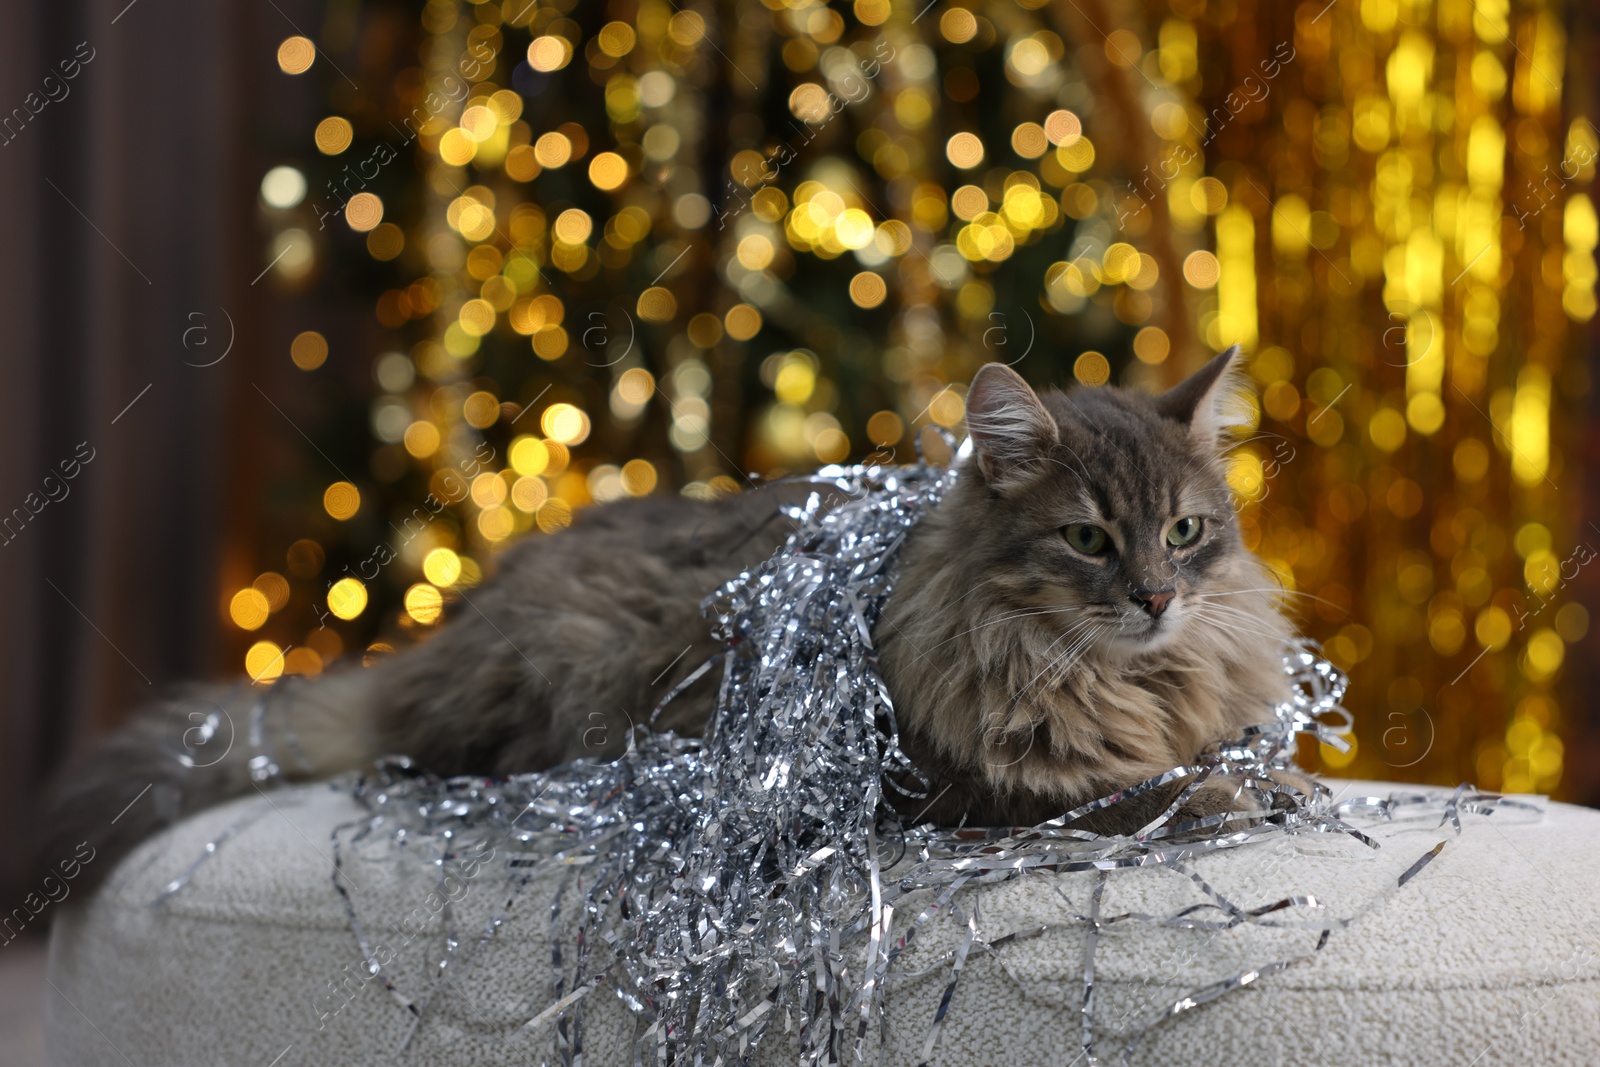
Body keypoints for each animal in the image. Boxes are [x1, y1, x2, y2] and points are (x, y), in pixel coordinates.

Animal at [40, 347, 1312, 889]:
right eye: (1087, 540)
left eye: (1185, 531)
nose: (1156, 596)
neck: (1117, 677)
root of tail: (431, 641)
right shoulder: (950, 790)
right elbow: (1125, 793)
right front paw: (1222, 792)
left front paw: (1272, 772)